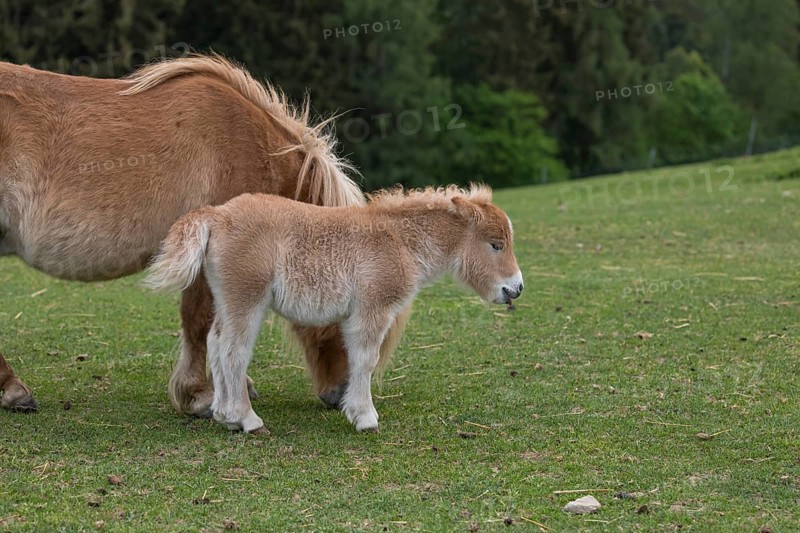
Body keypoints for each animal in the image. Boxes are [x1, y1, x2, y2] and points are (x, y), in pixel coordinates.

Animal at [144, 184, 524, 433]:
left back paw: (225, 415)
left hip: (226, 297)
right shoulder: (373, 307)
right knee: (233, 350)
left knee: (215, 341)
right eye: (496, 244)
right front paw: (364, 417)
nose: (515, 289)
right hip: (246, 296)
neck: (402, 242)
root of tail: (217, 215)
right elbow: (365, 359)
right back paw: (248, 420)